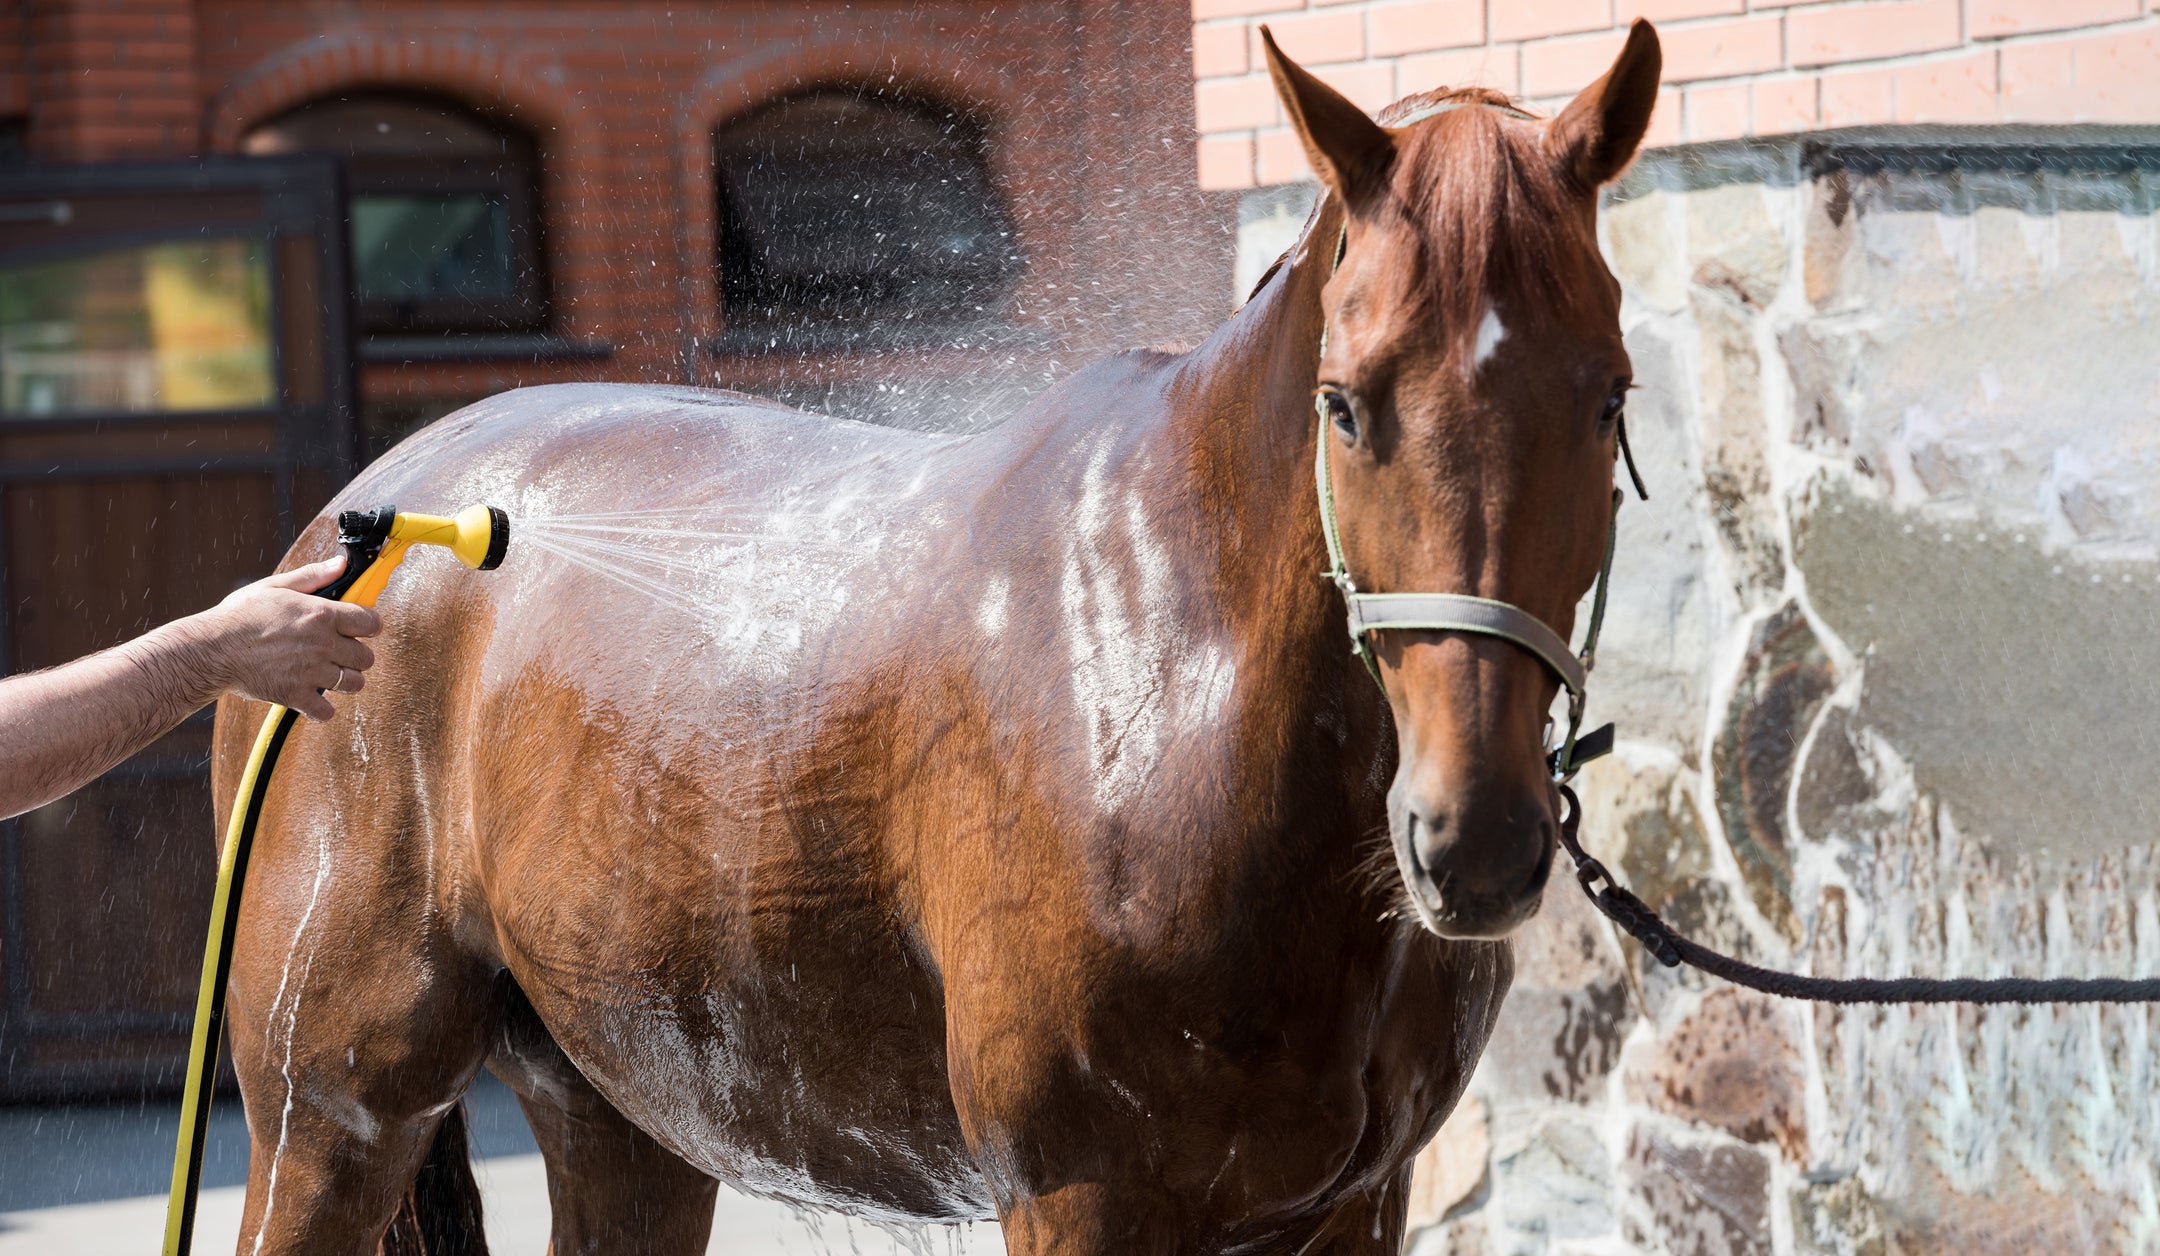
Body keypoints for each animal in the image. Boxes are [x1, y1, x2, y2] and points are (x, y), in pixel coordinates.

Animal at [219, 22, 1658, 1253]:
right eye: (1345, 404)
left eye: (1609, 396)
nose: (1474, 839)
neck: (1173, 685)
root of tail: (368, 521)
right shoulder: (1081, 1197)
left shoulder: (1354, 1204)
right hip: (326, 1118)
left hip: (623, 1116)